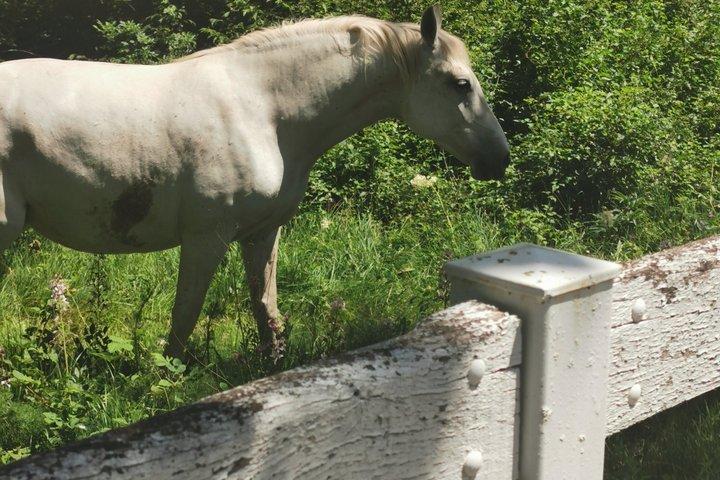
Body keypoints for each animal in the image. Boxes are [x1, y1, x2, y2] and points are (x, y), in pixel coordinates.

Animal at [0, 6, 510, 360]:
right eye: (460, 84)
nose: (499, 159)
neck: (263, 109)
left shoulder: (263, 233)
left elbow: (267, 308)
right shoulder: (206, 237)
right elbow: (185, 314)